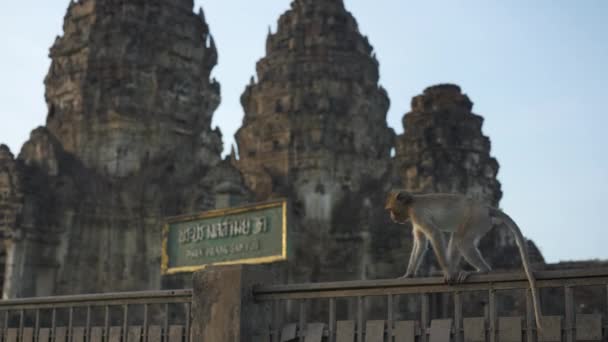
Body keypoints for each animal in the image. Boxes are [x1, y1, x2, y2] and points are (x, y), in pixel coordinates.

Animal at [382, 191, 544, 330]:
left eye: (391, 209)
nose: (391, 217)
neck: (411, 204)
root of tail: (485, 207)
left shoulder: (418, 214)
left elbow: (434, 234)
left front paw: (447, 272)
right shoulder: (415, 220)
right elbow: (420, 243)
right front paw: (408, 274)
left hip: (476, 219)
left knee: (462, 241)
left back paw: (481, 271)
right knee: (456, 238)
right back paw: (456, 269)